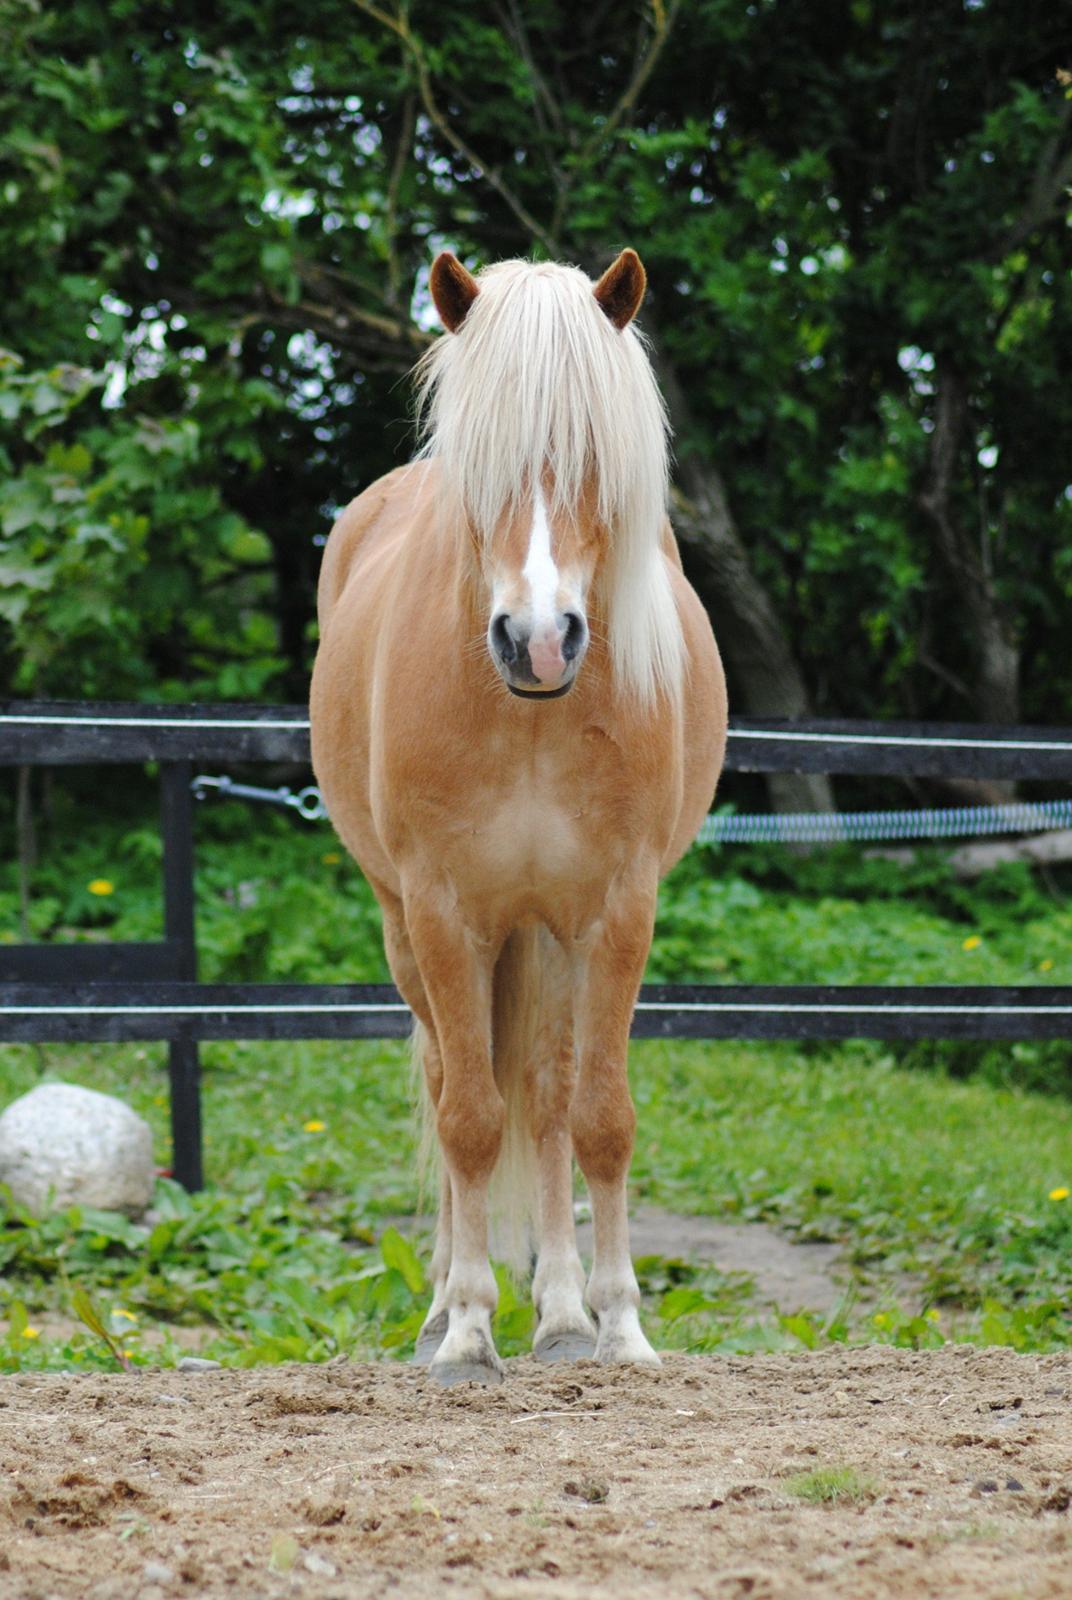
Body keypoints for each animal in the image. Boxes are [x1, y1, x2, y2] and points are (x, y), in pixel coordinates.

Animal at [313, 249, 729, 1388]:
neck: (532, 717)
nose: (538, 640)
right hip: (408, 924)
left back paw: (560, 1314)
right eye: (481, 467)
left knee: (544, 1100)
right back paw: (450, 1312)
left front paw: (617, 1324)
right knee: (453, 1079)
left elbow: (597, 1119)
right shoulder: (443, 911)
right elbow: (466, 1117)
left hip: (546, 931)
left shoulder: (618, 910)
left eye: (596, 457)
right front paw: (463, 1328)